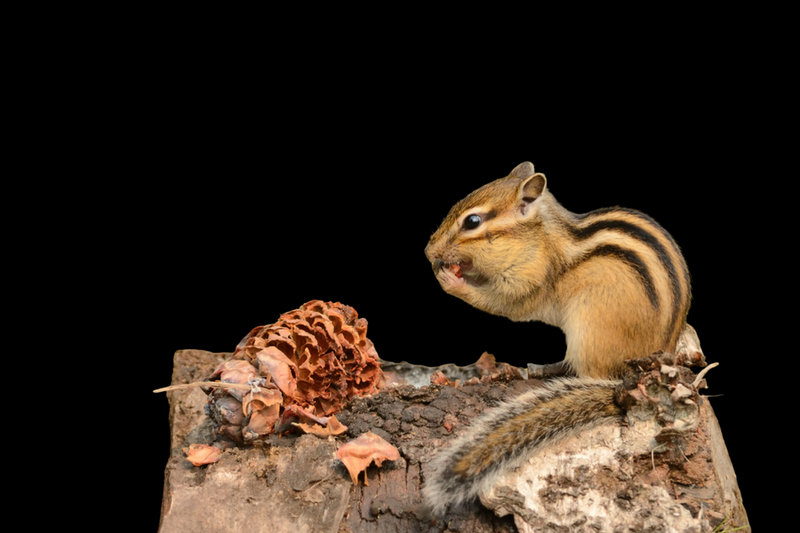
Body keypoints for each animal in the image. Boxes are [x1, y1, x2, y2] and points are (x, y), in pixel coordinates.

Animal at [421, 161, 702, 517]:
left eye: (472, 221)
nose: (428, 250)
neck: (542, 236)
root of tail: (632, 378)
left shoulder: (529, 279)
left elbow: (504, 303)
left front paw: (450, 280)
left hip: (588, 330)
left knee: (582, 371)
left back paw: (543, 369)